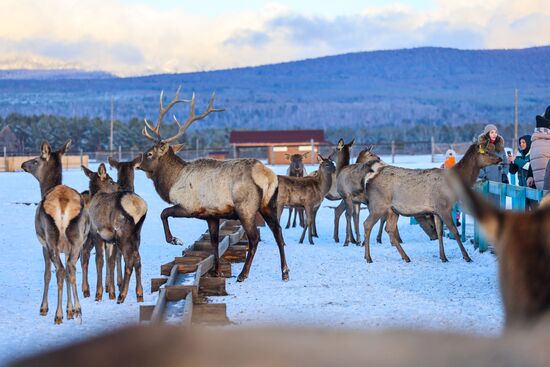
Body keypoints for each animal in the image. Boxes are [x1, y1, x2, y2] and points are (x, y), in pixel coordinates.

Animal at [21, 141, 90, 324]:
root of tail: (63, 202)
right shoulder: (67, 247)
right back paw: (78, 309)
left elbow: (47, 274)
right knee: (71, 268)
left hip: (51, 238)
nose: (22, 164)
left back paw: (57, 315)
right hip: (77, 238)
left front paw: (44, 308)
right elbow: (67, 272)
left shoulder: (44, 244)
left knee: (59, 271)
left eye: (36, 160)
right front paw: (70, 310)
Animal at [81, 165, 148, 304]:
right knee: (137, 260)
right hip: (136, 235)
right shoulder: (110, 239)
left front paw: (99, 294)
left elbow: (99, 261)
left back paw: (122, 295)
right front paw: (111, 293)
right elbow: (110, 262)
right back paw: (139, 294)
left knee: (129, 261)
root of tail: (140, 207)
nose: (120, 186)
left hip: (123, 235)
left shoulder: (97, 233)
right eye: (111, 181)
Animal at [137, 87, 292, 284]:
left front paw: (175, 240)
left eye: (149, 154)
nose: (137, 164)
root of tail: (267, 174)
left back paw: (243, 274)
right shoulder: (211, 215)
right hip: (268, 205)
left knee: (255, 238)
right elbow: (214, 242)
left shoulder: (189, 207)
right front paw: (216, 271)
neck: (172, 182)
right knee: (278, 232)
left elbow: (163, 213)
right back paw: (285, 272)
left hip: (246, 208)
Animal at [364, 142, 502, 264]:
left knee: (390, 229)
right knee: (367, 224)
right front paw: (467, 257)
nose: (500, 159)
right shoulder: (444, 207)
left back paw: (406, 257)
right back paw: (368, 257)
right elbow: (454, 231)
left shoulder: (436, 211)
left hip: (393, 210)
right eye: (487, 152)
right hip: (378, 205)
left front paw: (443, 257)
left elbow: (440, 232)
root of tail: (369, 180)